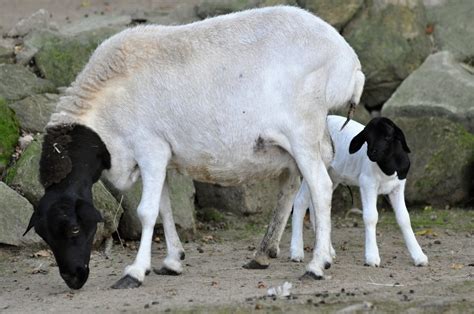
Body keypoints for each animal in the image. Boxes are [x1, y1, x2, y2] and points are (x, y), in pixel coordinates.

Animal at [22, 5, 364, 290]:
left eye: (73, 230)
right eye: (43, 234)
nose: (73, 278)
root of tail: (350, 62)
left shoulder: (150, 148)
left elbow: (146, 211)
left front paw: (134, 272)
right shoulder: (161, 156)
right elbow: (164, 207)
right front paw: (172, 261)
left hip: (302, 130)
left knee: (321, 186)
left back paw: (316, 265)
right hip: (302, 139)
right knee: (297, 184)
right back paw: (274, 254)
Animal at [286, 115, 428, 268]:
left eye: (388, 136)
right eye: (367, 137)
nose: (371, 153)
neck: (387, 167)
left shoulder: (398, 187)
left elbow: (404, 218)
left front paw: (419, 256)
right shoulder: (367, 183)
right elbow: (371, 217)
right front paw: (372, 257)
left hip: (332, 175)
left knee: (317, 205)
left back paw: (327, 250)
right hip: (311, 165)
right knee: (300, 201)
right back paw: (297, 252)